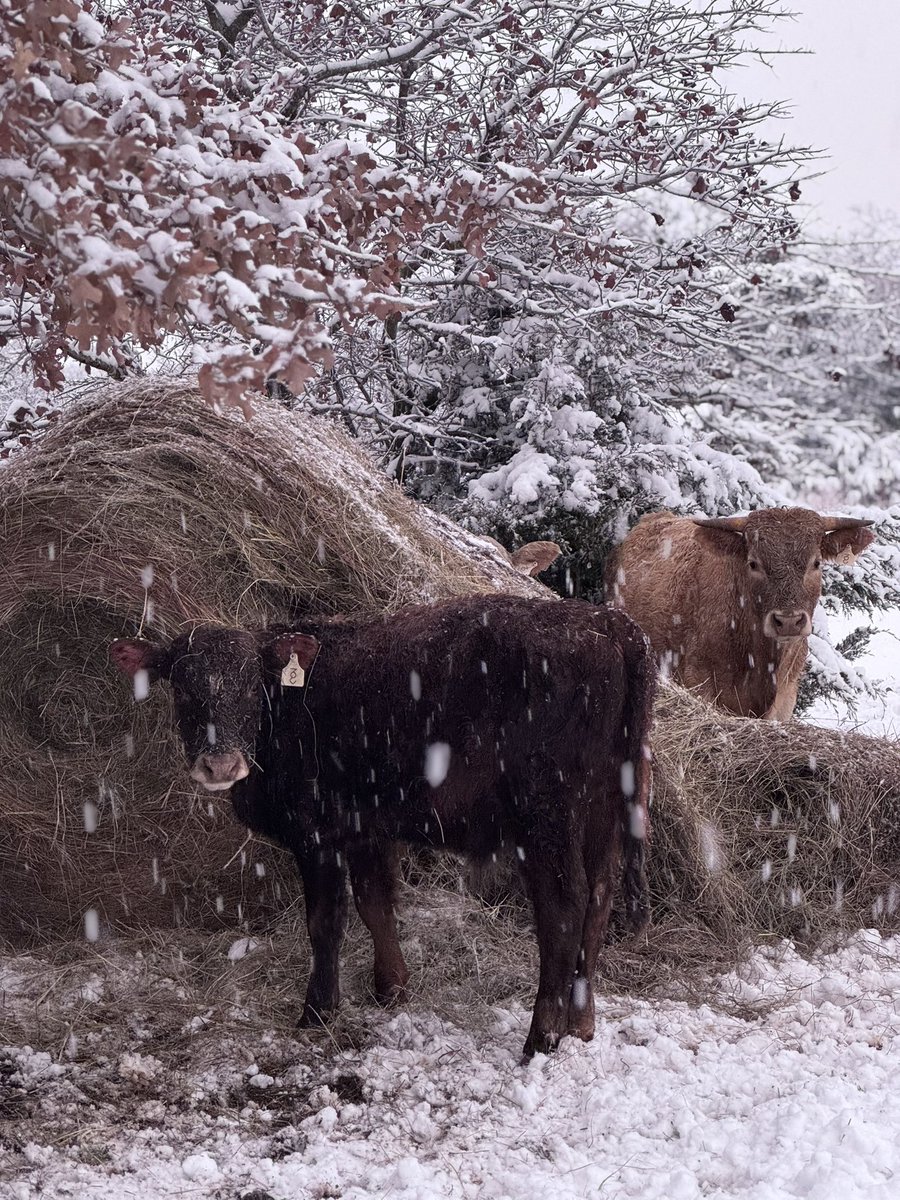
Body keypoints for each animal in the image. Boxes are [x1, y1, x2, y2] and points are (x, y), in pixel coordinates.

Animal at [110, 595, 654, 1058]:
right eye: (183, 687)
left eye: (250, 684)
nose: (220, 764)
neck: (289, 706)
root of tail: (609, 623)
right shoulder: (368, 829)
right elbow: (376, 904)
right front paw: (390, 988)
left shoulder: (318, 836)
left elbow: (326, 922)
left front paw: (317, 1012)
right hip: (604, 811)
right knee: (599, 900)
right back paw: (581, 1025)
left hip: (547, 819)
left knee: (564, 909)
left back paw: (540, 1039)